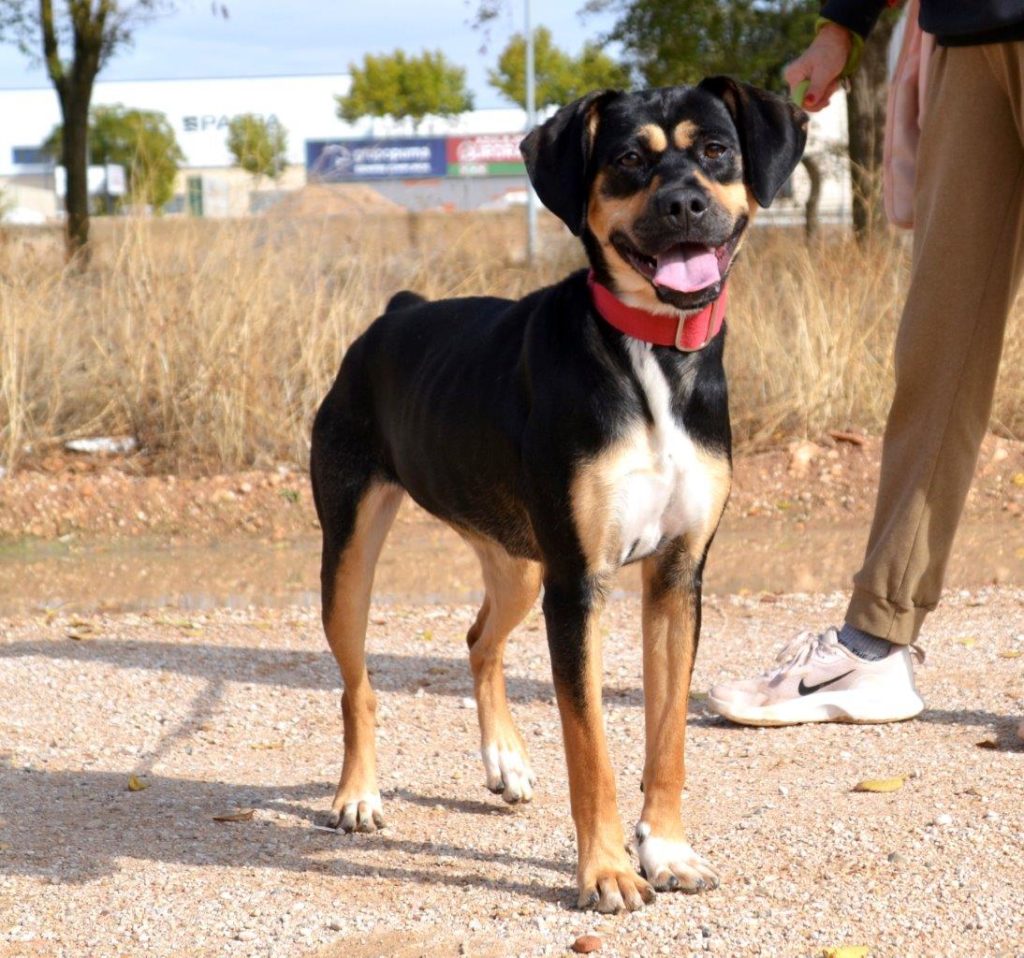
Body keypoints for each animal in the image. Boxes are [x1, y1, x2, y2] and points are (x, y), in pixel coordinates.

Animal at [311, 80, 806, 912]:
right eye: (629, 159)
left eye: (715, 149)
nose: (682, 204)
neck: (651, 355)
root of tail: (397, 310)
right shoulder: (579, 585)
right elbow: (592, 748)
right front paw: (606, 869)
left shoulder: (676, 578)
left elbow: (667, 738)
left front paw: (666, 849)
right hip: (350, 554)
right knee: (357, 687)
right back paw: (358, 795)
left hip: (517, 563)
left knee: (479, 641)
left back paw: (504, 762)